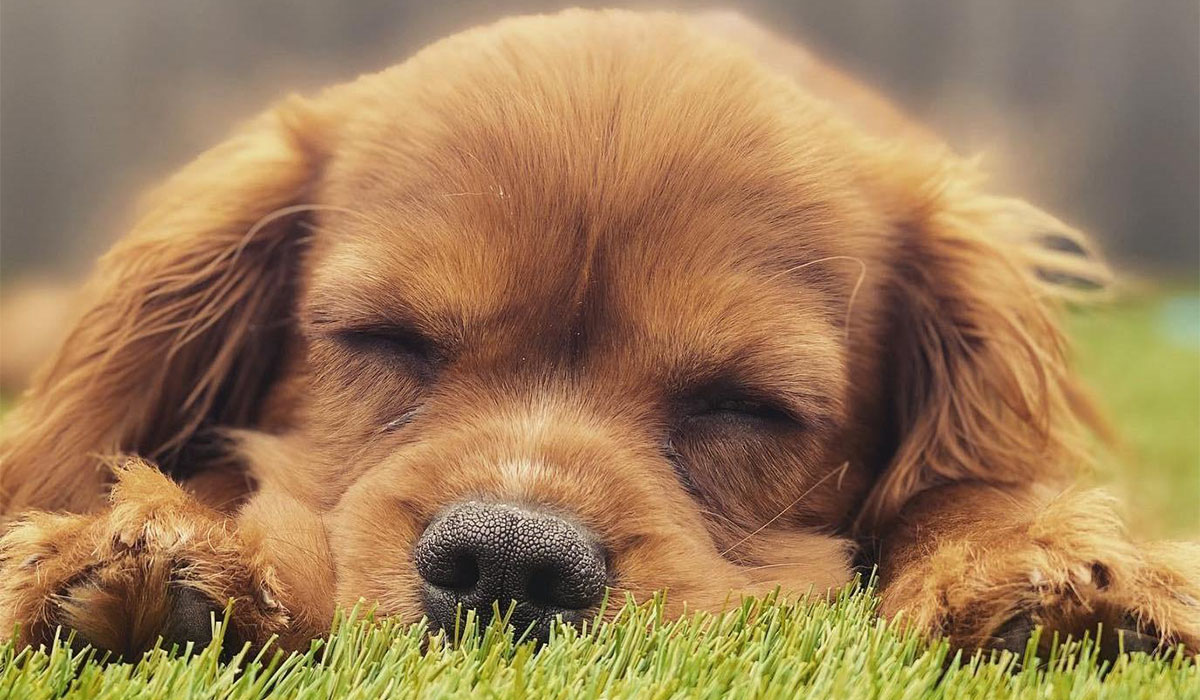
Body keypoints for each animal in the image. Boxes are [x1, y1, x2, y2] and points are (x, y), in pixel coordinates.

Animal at [2, 9, 1200, 657]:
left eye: (745, 404)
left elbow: (975, 484)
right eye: (384, 339)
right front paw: (149, 543)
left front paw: (1038, 564)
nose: (507, 562)